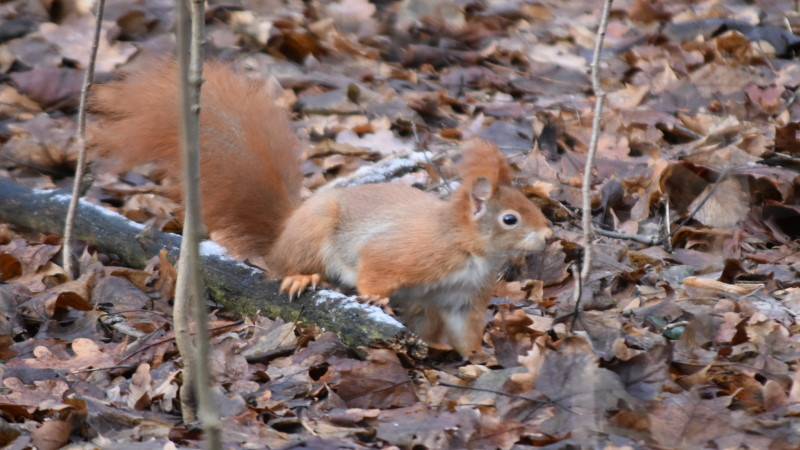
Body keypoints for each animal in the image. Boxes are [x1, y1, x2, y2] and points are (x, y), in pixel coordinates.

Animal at [87, 60, 552, 356]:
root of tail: (286, 229)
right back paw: (302, 276)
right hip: (313, 233)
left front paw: (478, 361)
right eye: (510, 219)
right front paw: (375, 299)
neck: (466, 245)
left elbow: (465, 333)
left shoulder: (462, 298)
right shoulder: (408, 253)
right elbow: (375, 267)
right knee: (286, 265)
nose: (549, 235)